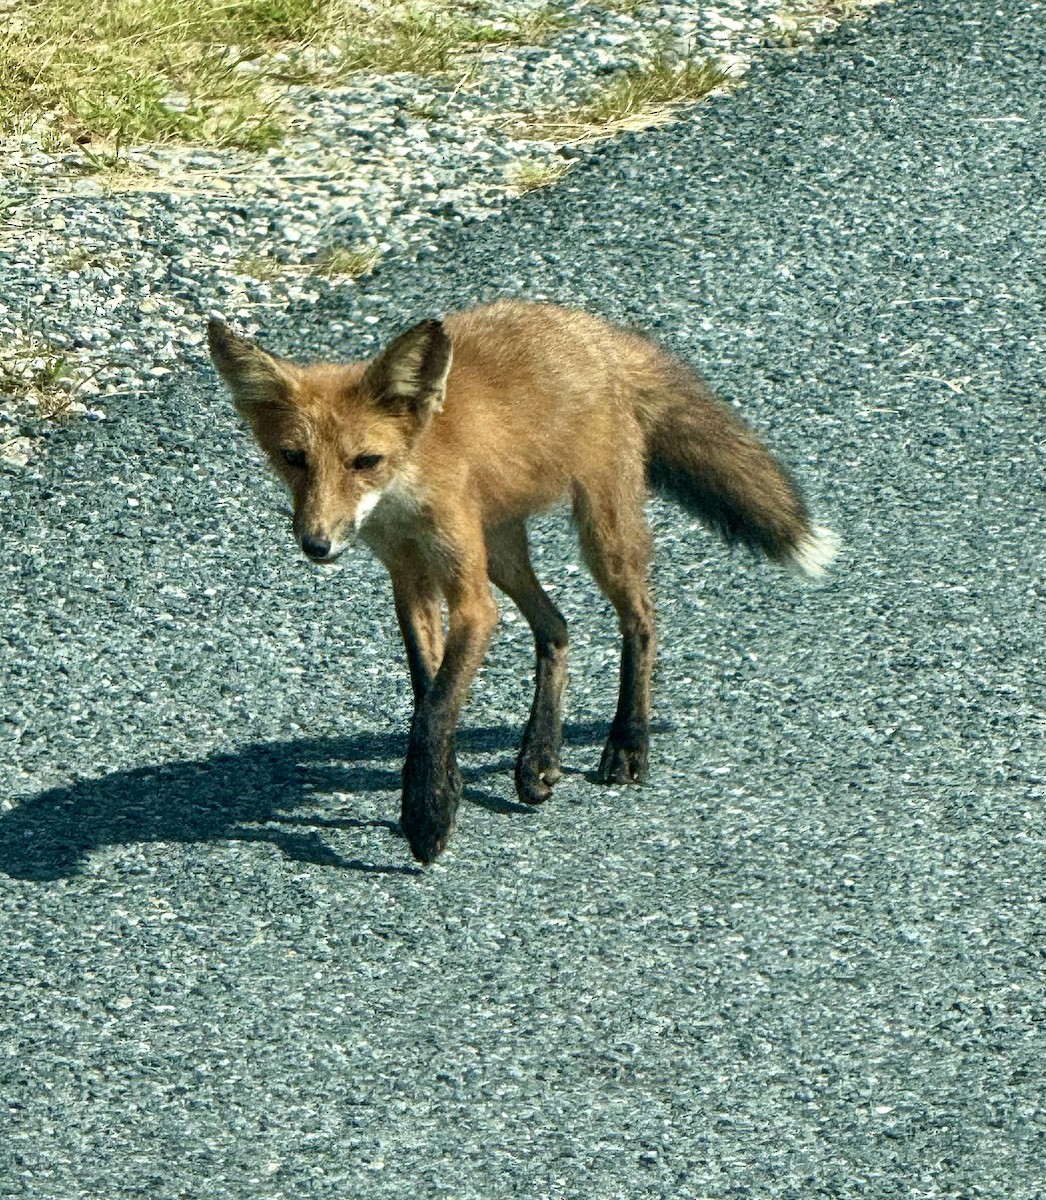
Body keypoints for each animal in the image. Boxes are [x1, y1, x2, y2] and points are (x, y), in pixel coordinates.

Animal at [208, 299, 838, 864]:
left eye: (365, 461)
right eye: (293, 458)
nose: (317, 545)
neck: (405, 495)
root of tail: (592, 330)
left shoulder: (472, 598)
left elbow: (437, 706)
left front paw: (427, 814)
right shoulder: (409, 578)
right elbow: (427, 689)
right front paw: (445, 786)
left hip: (600, 535)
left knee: (641, 621)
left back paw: (628, 742)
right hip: (505, 551)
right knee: (557, 627)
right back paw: (539, 757)